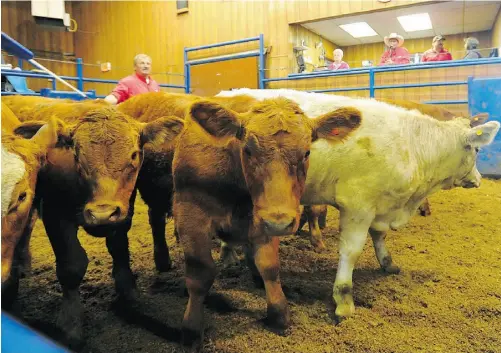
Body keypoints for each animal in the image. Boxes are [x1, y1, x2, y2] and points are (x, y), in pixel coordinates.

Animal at [8, 100, 185, 346]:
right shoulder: (54, 214)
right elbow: (71, 266)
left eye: (134, 154)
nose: (102, 214)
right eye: (77, 156)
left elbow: (119, 250)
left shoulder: (123, 212)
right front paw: (71, 325)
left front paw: (129, 293)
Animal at [172, 95, 360, 350]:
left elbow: (269, 267)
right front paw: (191, 329)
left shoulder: (265, 219)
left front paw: (279, 313)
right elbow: (200, 273)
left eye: (306, 153)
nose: (280, 224)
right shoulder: (191, 213)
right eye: (248, 150)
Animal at [217, 87, 498, 320]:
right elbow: (350, 251)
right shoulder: (357, 206)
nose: (479, 179)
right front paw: (343, 299)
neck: (411, 146)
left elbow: (379, 235)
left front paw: (387, 262)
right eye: (477, 150)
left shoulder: (380, 203)